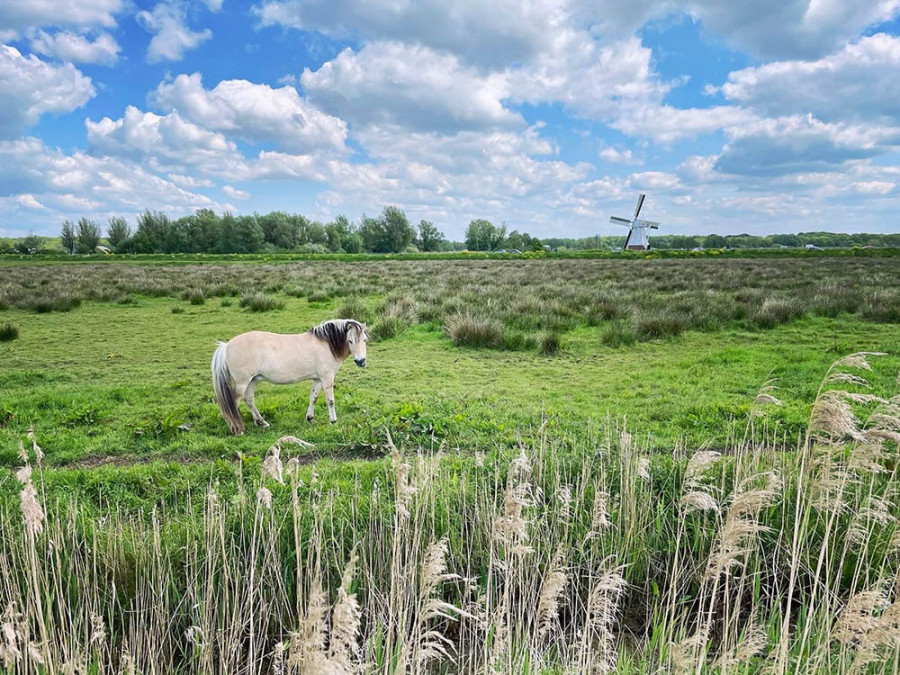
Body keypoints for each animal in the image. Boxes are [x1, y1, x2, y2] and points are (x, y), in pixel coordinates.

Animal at [213, 320, 368, 436]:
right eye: (350, 341)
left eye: (365, 340)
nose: (361, 361)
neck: (327, 345)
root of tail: (226, 346)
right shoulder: (327, 378)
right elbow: (330, 400)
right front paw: (333, 421)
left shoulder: (317, 379)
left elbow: (313, 398)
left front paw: (310, 418)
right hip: (242, 383)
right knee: (233, 403)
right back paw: (237, 430)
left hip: (251, 381)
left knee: (249, 400)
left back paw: (262, 423)